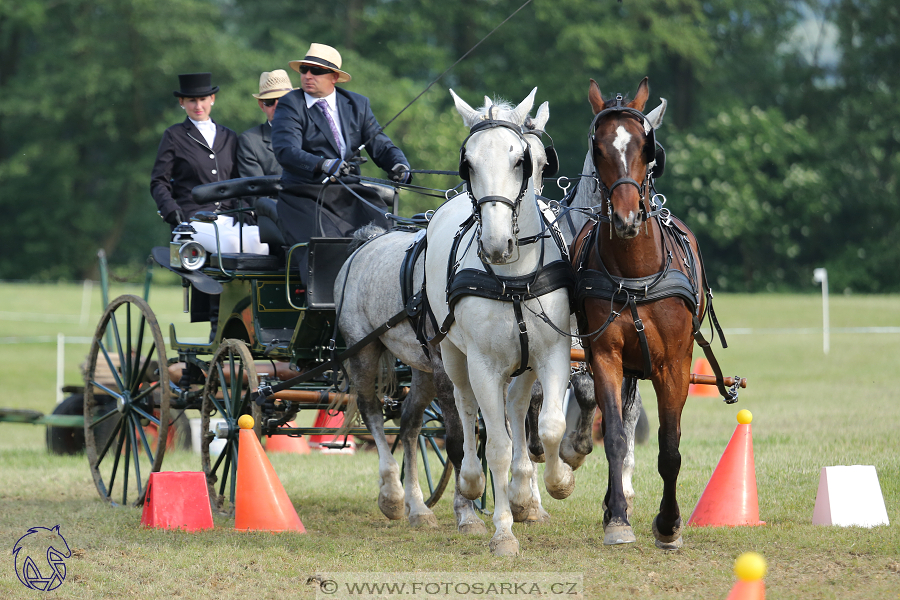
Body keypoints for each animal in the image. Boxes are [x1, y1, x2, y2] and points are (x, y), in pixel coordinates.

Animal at [424, 88, 576, 552]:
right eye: (468, 163)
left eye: (521, 161)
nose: (496, 244)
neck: (514, 278)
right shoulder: (484, 366)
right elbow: (496, 447)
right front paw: (503, 532)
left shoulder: (553, 352)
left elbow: (550, 426)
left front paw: (557, 482)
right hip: (453, 355)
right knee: (465, 407)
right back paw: (473, 488)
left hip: (525, 362)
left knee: (517, 406)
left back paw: (526, 494)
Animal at [572, 77, 736, 552]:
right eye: (598, 147)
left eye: (648, 147)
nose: (627, 219)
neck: (635, 274)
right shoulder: (604, 356)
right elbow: (613, 435)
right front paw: (617, 518)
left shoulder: (675, 364)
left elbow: (670, 446)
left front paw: (669, 523)